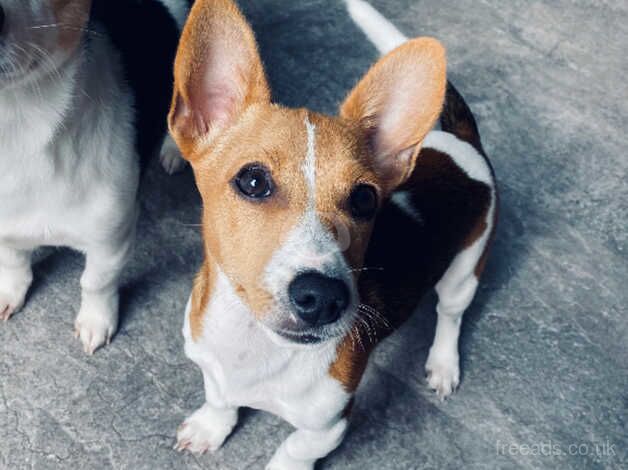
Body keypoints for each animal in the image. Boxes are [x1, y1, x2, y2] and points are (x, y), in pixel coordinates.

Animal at [0, 0, 189, 352]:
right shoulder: (7, 229)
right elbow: (13, 260)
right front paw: (10, 291)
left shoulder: (111, 238)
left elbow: (97, 281)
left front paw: (96, 321)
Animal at [169, 0, 498, 466]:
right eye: (253, 181)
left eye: (364, 199)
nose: (323, 297)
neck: (255, 343)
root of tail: (463, 142)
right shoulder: (212, 370)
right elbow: (219, 399)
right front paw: (210, 427)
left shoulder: (327, 427)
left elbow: (291, 451)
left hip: (467, 268)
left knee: (450, 315)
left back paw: (443, 363)